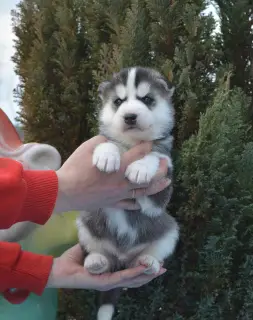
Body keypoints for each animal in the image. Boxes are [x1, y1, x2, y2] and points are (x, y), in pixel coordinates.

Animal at [77, 66, 180, 318]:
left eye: (147, 99)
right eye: (118, 101)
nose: (130, 116)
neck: (133, 144)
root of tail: (121, 258)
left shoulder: (161, 195)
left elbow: (155, 155)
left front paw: (140, 168)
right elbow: (107, 141)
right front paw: (107, 155)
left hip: (170, 230)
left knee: (146, 258)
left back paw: (147, 262)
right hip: (85, 223)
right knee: (99, 255)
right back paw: (96, 261)